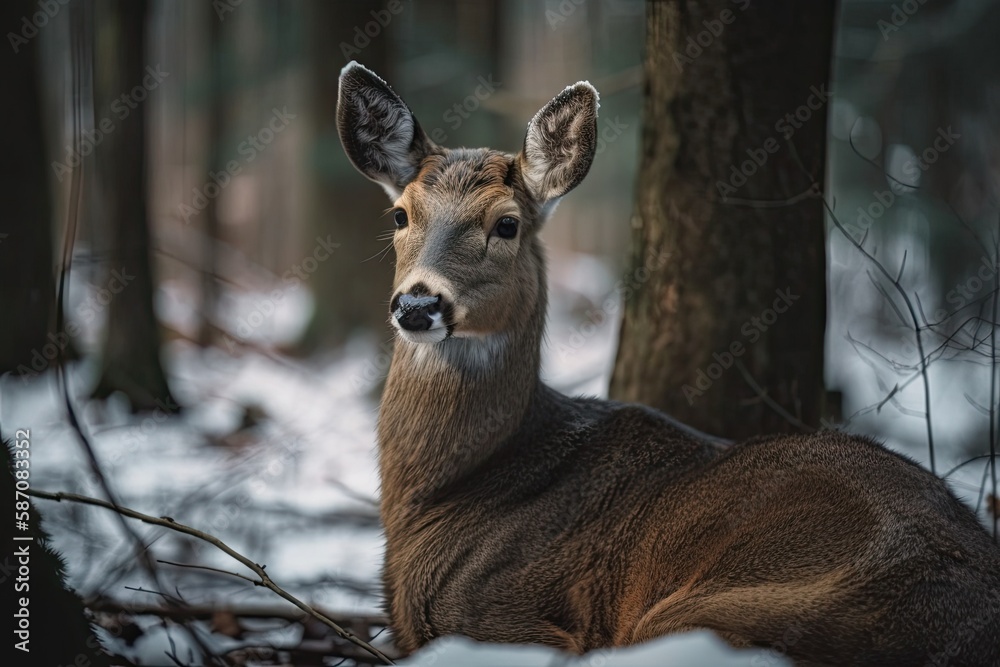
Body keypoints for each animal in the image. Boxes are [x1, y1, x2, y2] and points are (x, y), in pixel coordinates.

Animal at [338, 60, 1000, 664]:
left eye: (506, 224)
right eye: (401, 215)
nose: (418, 303)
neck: (443, 494)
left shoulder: (515, 621)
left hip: (721, 608)